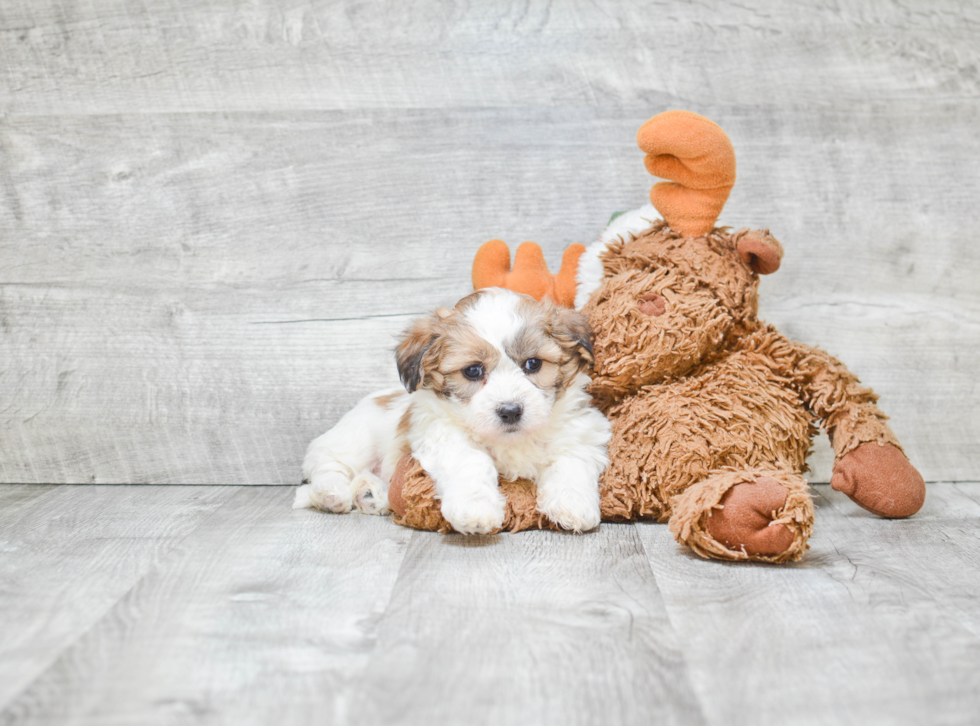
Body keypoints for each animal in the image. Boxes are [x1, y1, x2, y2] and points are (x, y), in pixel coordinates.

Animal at [294, 288, 608, 536]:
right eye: (473, 371)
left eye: (533, 364)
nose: (510, 411)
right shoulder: (440, 432)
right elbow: (472, 461)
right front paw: (475, 509)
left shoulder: (579, 432)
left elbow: (570, 462)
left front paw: (572, 504)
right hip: (356, 440)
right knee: (327, 464)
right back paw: (331, 493)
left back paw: (371, 494)